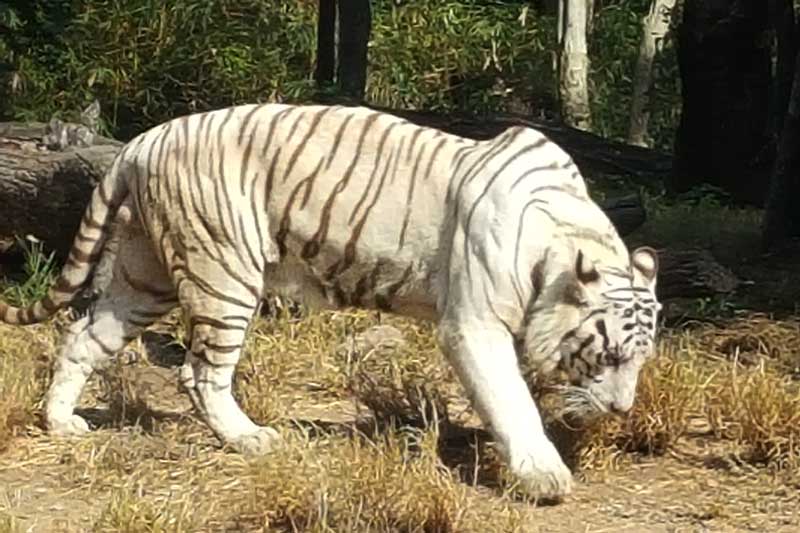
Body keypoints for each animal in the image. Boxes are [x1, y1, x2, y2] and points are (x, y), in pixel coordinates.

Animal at [0, 104, 660, 498]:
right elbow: (511, 399)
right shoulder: (474, 325)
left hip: (145, 276)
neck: (562, 244)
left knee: (83, 335)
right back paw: (249, 438)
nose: (623, 409)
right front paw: (543, 474)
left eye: (639, 361)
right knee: (200, 373)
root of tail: (141, 140)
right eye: (609, 356)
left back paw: (62, 422)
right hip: (224, 272)